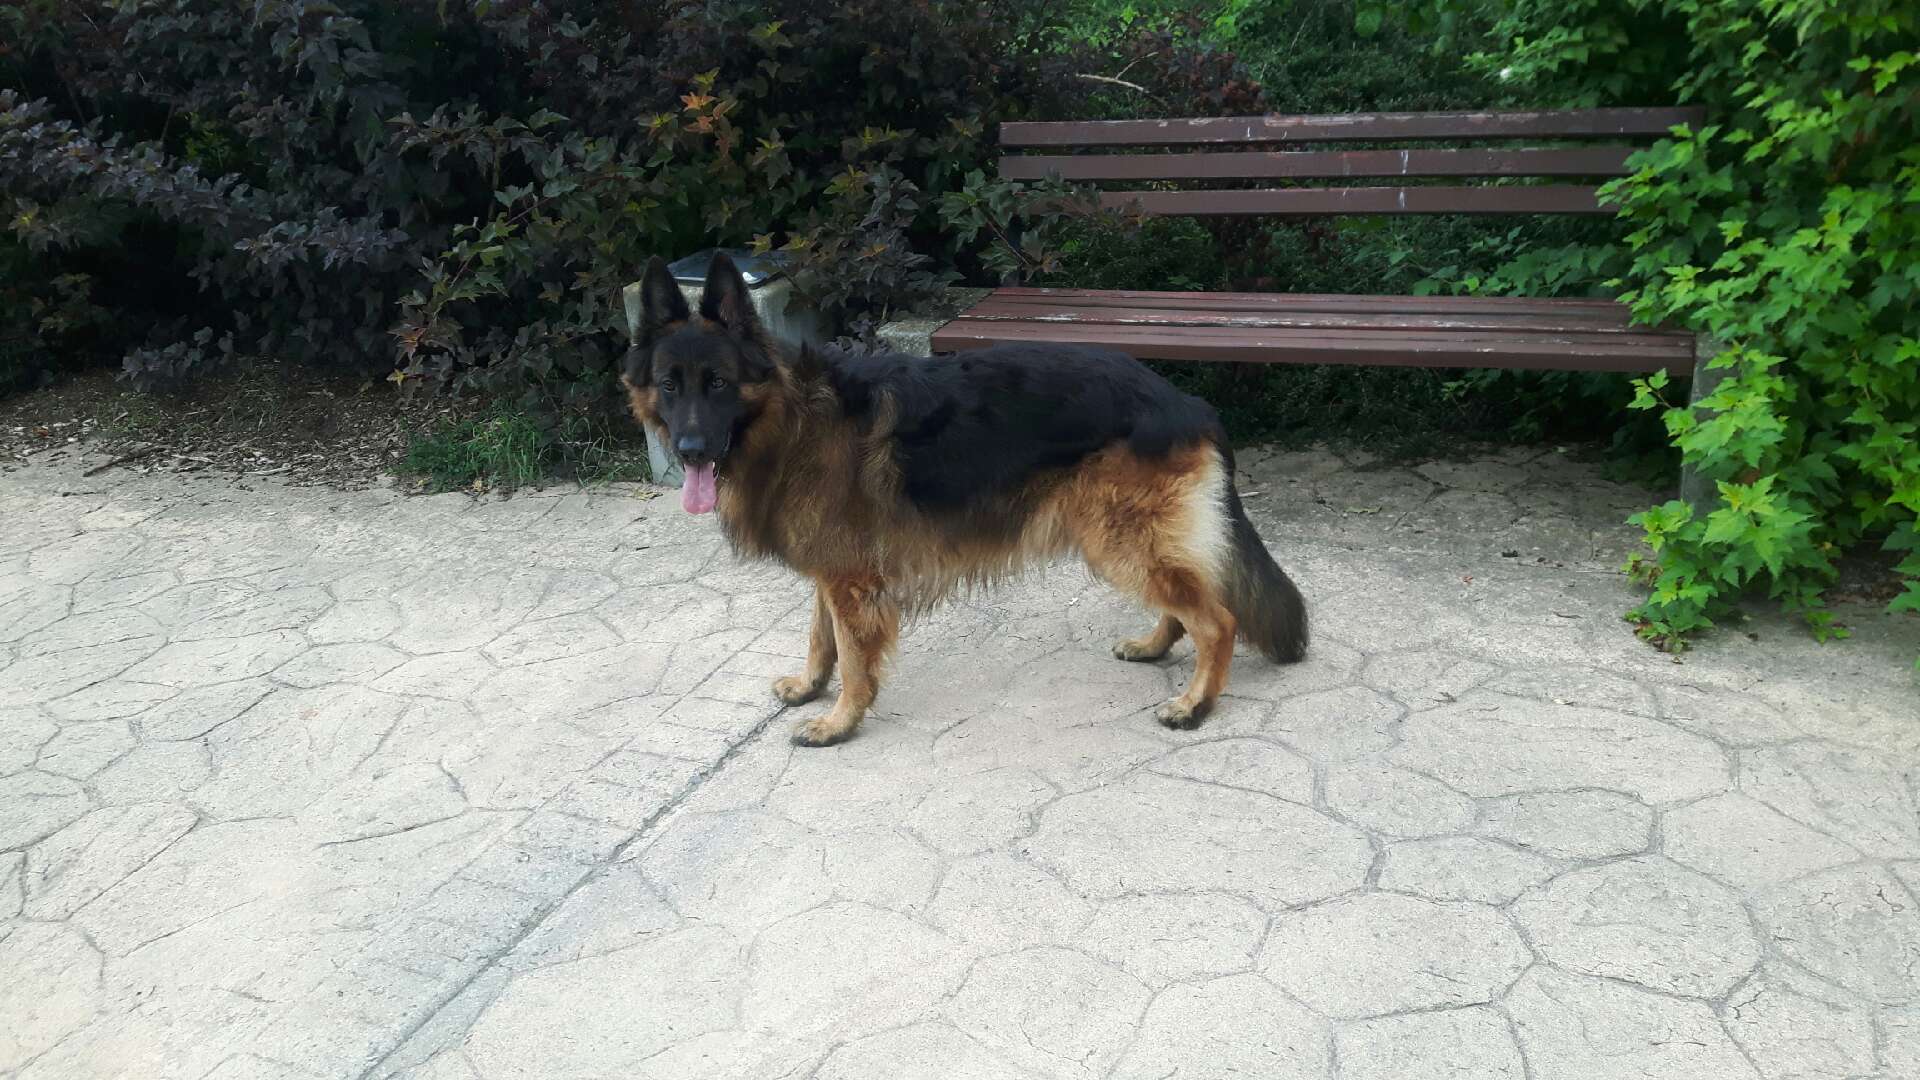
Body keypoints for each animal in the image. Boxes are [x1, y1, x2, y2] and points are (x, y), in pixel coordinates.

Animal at [623, 252, 1308, 746]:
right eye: (669, 385)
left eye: (718, 383)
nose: (689, 450)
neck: (792, 418)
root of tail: (1184, 400)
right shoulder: (833, 569)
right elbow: (821, 637)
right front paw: (811, 687)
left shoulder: (849, 580)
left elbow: (852, 656)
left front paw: (841, 721)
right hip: (1127, 542)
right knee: (1184, 602)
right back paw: (1155, 644)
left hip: (1121, 540)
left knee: (1218, 620)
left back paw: (1195, 704)